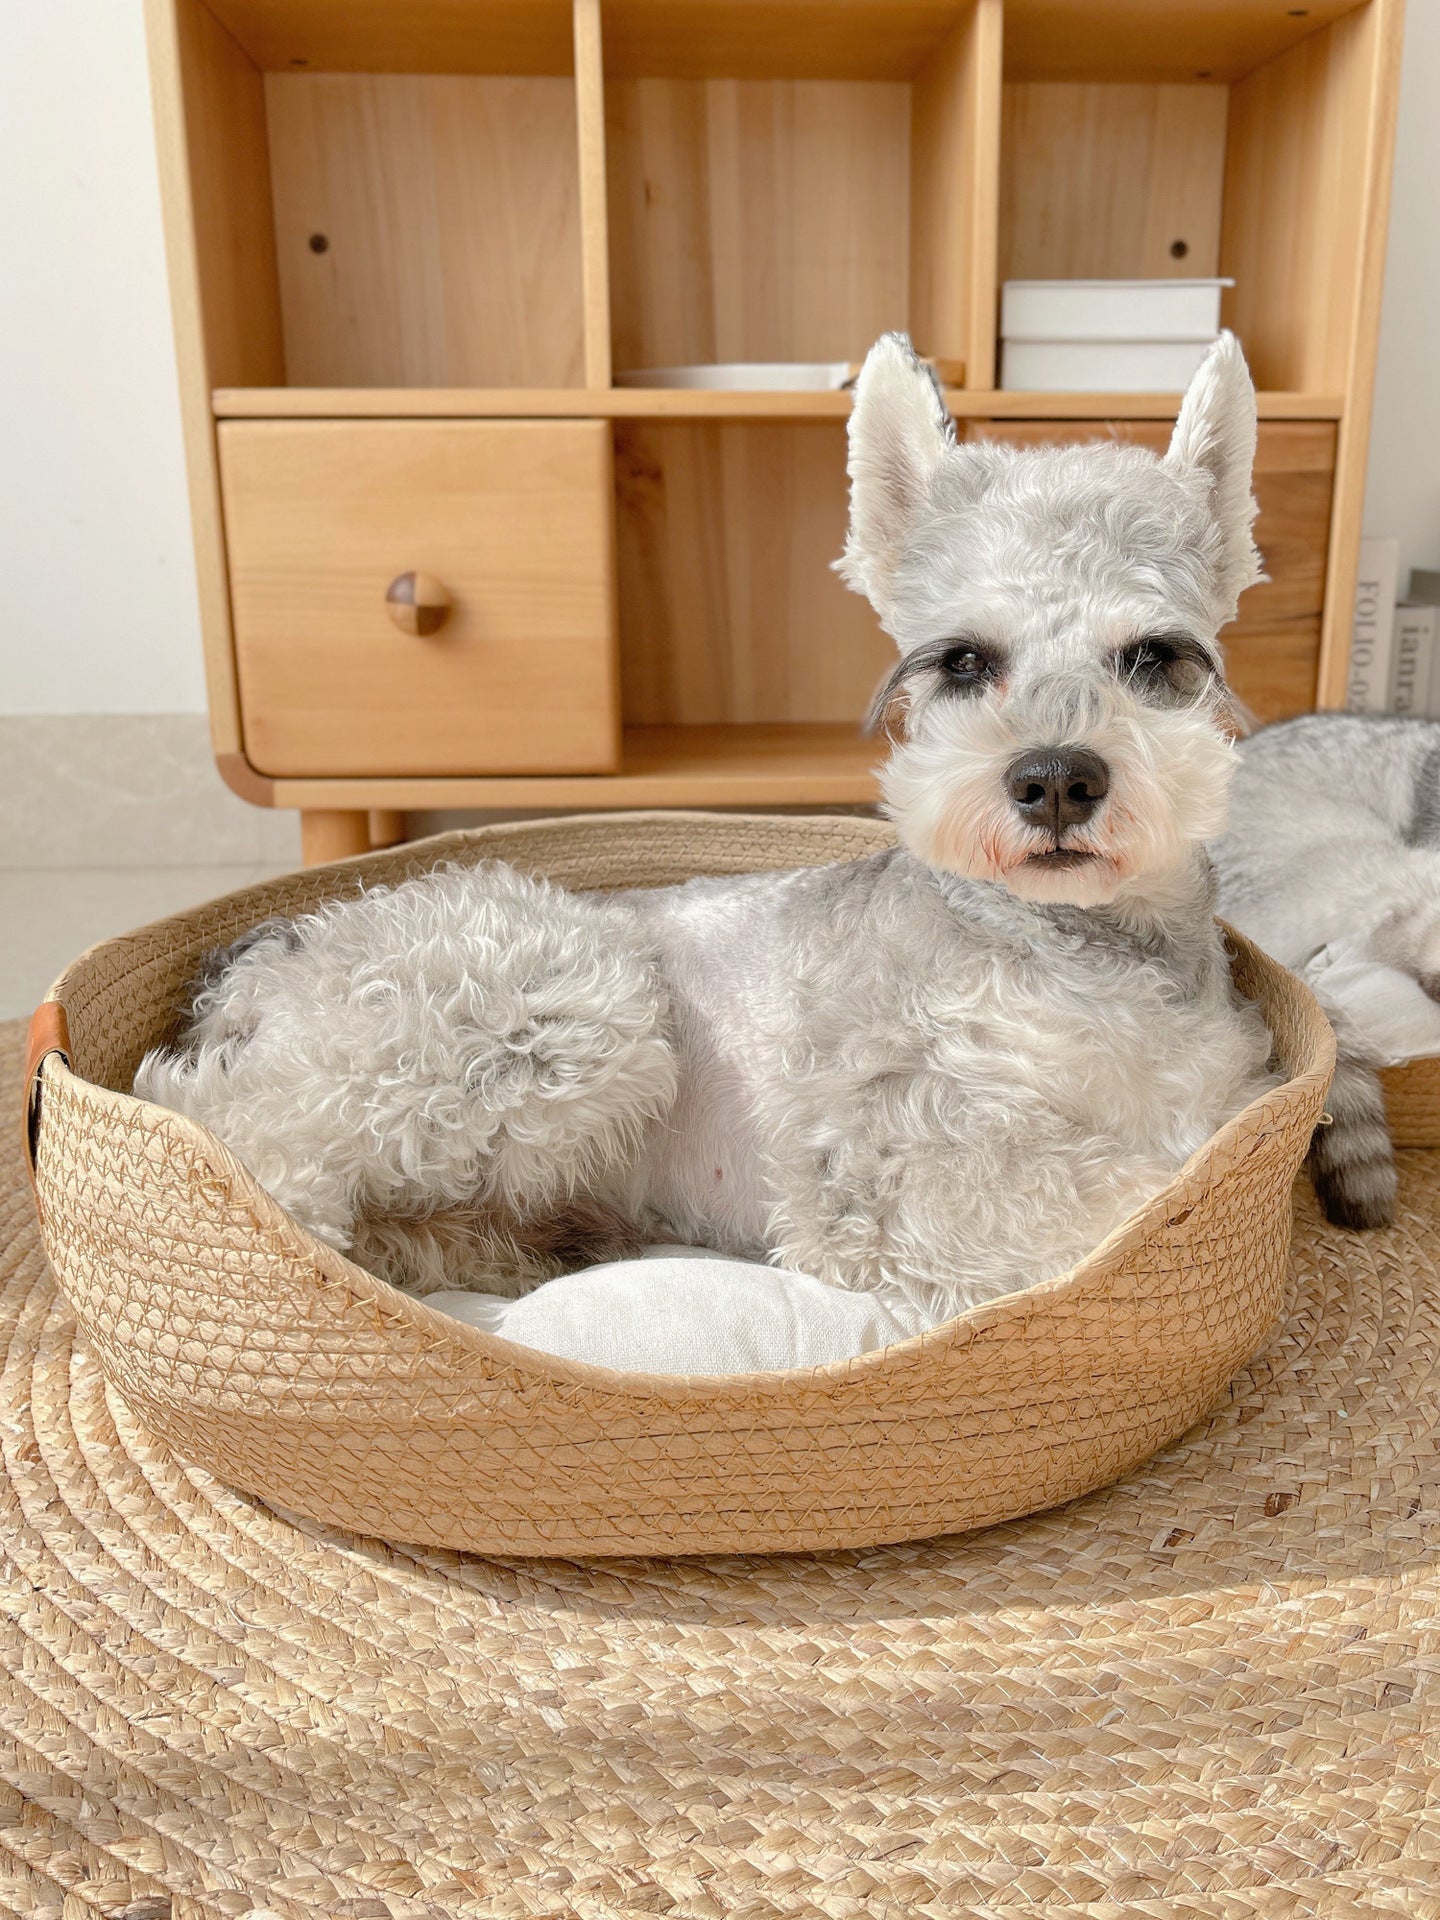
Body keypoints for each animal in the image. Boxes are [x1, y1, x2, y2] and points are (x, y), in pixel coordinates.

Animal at [141, 334, 1282, 1320]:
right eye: (964, 661)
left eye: (1154, 656)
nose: (1055, 779)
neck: (1079, 947)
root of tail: (259, 958)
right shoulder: (890, 1162)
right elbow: (1124, 1196)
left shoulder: (1221, 1102)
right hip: (563, 1002)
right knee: (250, 1146)